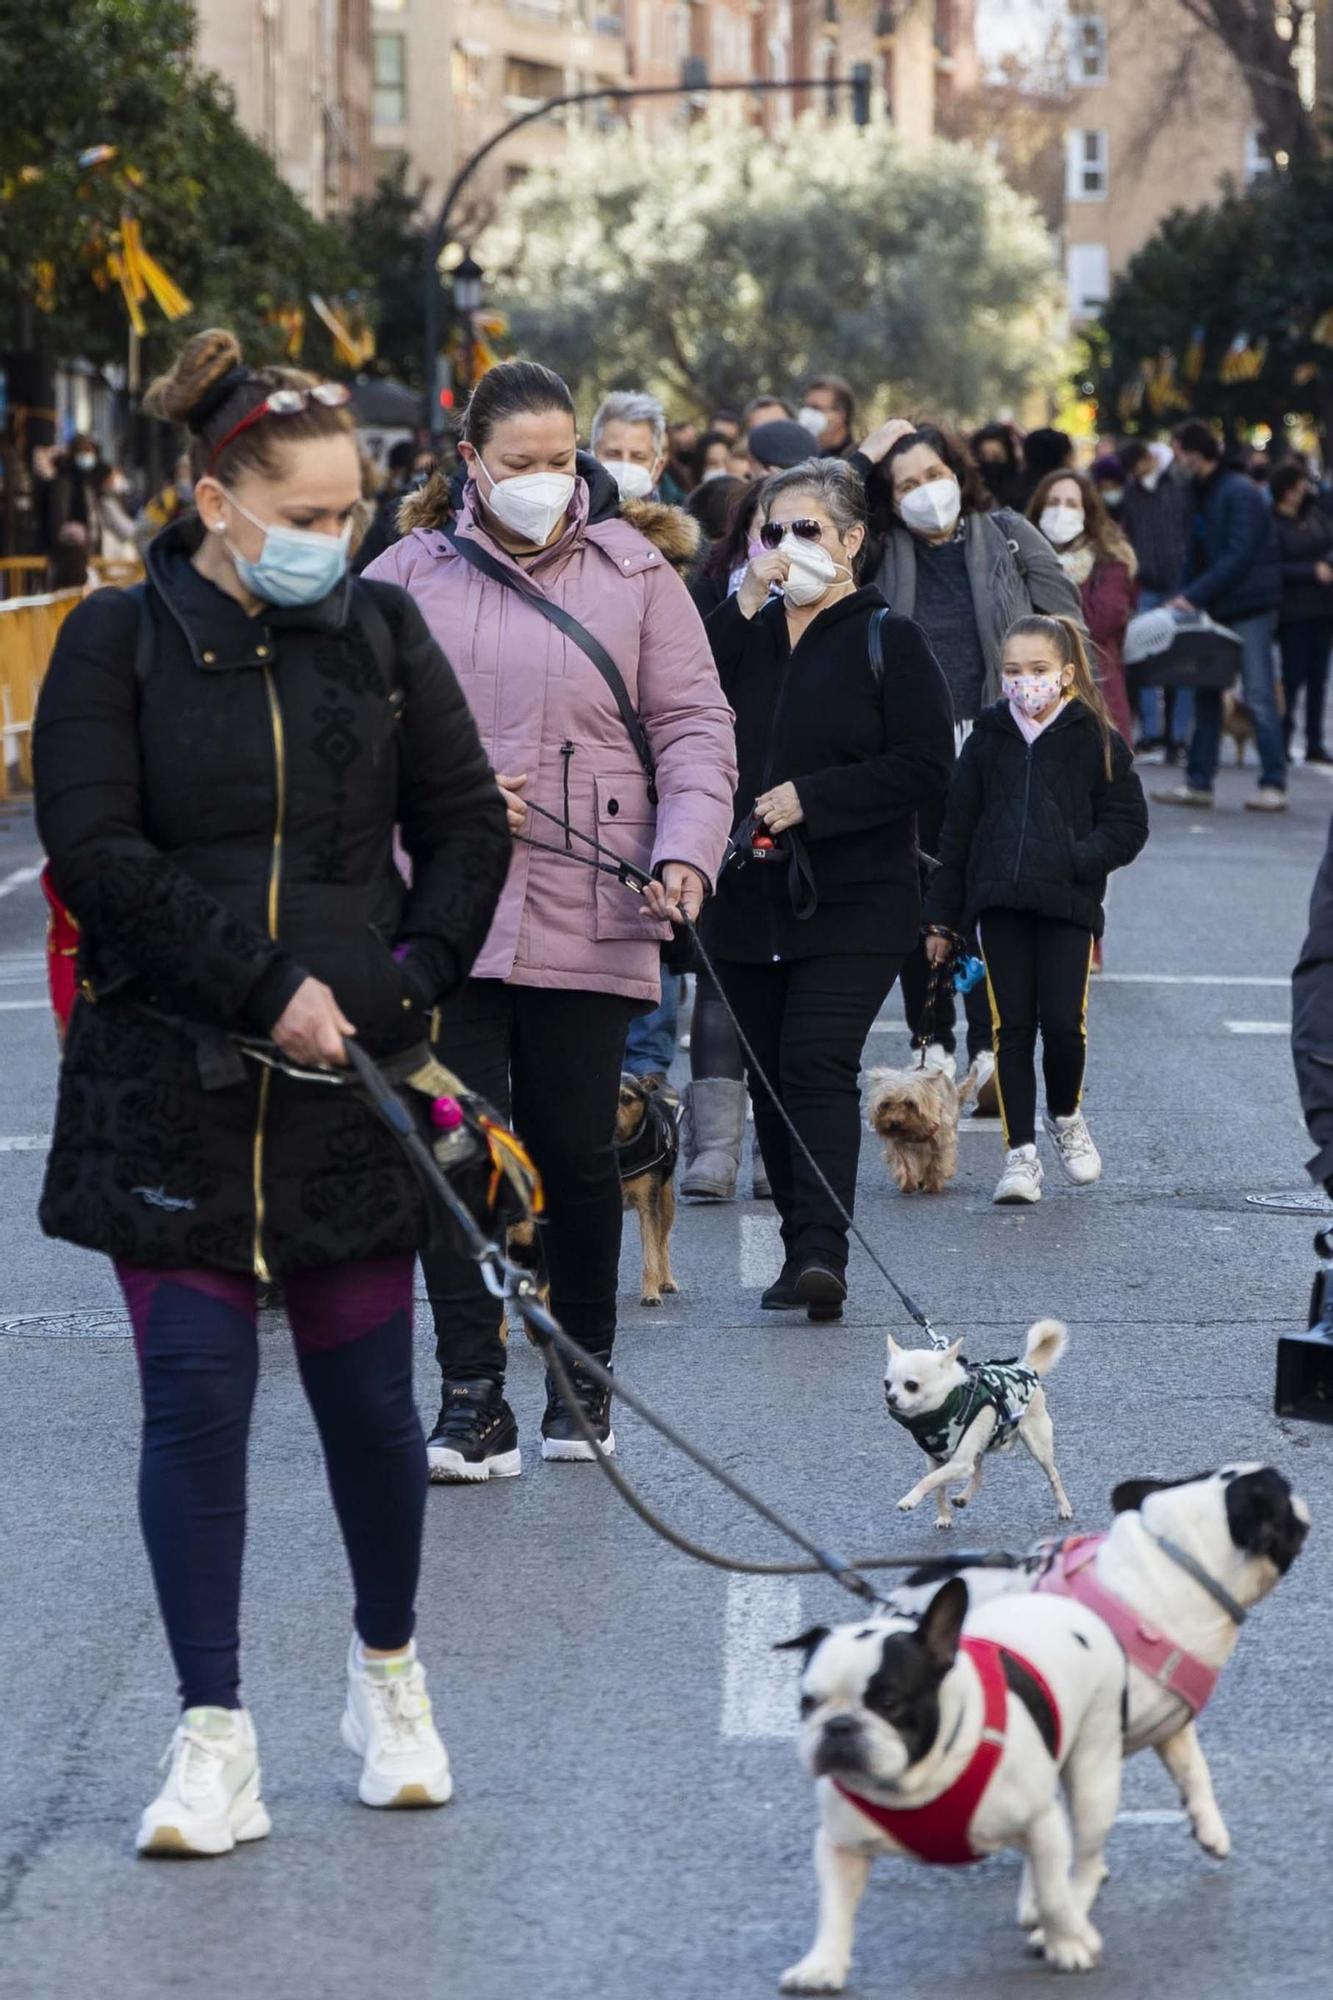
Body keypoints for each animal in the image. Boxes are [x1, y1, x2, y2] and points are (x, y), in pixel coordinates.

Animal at [608, 1080, 676, 1312]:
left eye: (626, 1098)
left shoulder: (648, 1207)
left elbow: (651, 1257)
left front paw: (650, 1294)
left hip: (666, 1202)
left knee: (662, 1242)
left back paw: (667, 1281)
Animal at [868, 1056, 972, 1192]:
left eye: (910, 1103)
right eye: (886, 1104)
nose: (895, 1123)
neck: (915, 1130)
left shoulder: (941, 1139)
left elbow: (937, 1161)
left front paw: (932, 1186)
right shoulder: (897, 1141)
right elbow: (903, 1161)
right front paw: (908, 1184)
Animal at [880, 1312, 1072, 1528]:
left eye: (911, 1385)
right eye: (887, 1384)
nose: (890, 1398)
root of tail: (1025, 1366)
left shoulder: (959, 1463)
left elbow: (929, 1480)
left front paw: (909, 1499)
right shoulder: (936, 1460)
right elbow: (938, 1488)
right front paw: (944, 1516)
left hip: (1037, 1442)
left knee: (1053, 1474)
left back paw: (1064, 1507)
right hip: (981, 1445)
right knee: (978, 1475)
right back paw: (963, 1498)